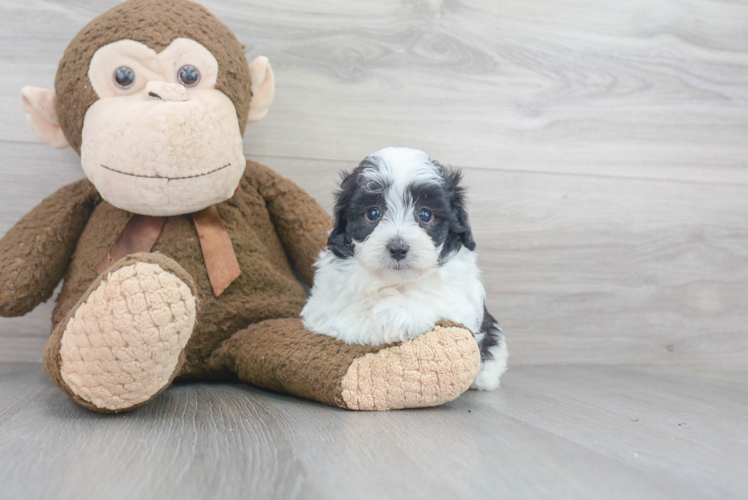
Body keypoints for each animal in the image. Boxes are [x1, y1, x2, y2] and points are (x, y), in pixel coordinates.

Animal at [300, 146, 508, 388]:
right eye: (373, 213)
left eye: (425, 214)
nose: (398, 248)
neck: (397, 281)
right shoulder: (324, 308)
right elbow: (349, 314)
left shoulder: (459, 302)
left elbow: (434, 299)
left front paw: (396, 312)